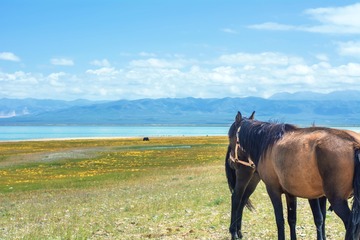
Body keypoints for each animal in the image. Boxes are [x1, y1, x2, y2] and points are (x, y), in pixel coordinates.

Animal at [232, 111, 360, 240]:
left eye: (231, 138)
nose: (232, 163)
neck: (268, 143)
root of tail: (354, 143)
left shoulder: (273, 190)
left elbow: (280, 220)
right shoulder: (291, 193)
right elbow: (292, 219)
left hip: (337, 200)